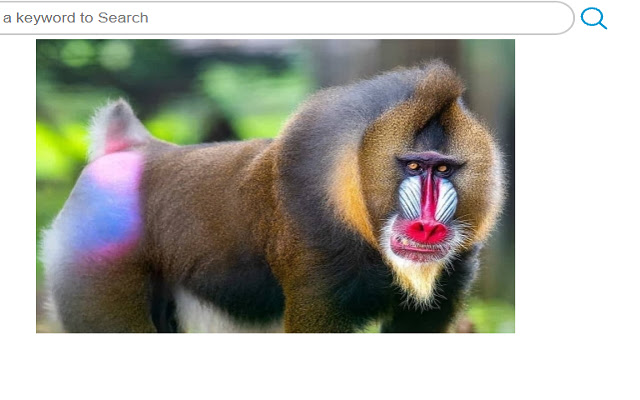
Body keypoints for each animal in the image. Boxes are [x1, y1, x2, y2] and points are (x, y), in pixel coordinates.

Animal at [41, 61, 504, 333]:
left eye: (442, 169)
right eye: (412, 167)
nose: (427, 227)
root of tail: (128, 148)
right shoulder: (317, 278)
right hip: (94, 274)